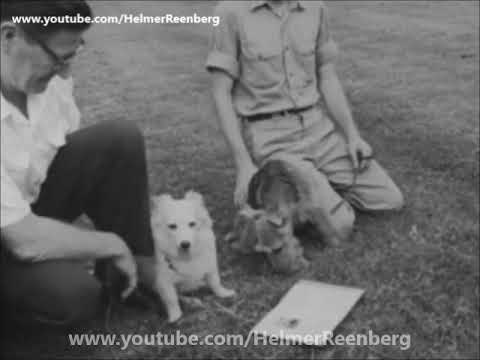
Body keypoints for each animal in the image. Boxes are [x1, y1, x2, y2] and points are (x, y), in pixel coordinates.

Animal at [148, 191, 234, 324]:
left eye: (192, 224)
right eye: (172, 226)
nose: (185, 244)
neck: (187, 257)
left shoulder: (210, 266)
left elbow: (215, 282)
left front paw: (223, 293)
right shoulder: (163, 281)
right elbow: (171, 298)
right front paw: (175, 316)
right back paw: (192, 301)